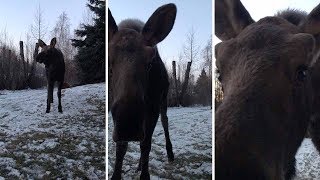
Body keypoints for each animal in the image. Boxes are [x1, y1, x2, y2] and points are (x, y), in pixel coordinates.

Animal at [109, 2, 176, 180]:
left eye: (151, 61)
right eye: (108, 59)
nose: (129, 122)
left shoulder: (152, 107)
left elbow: (146, 145)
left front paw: (145, 174)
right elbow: (121, 148)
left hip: (163, 98)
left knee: (165, 121)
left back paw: (170, 153)